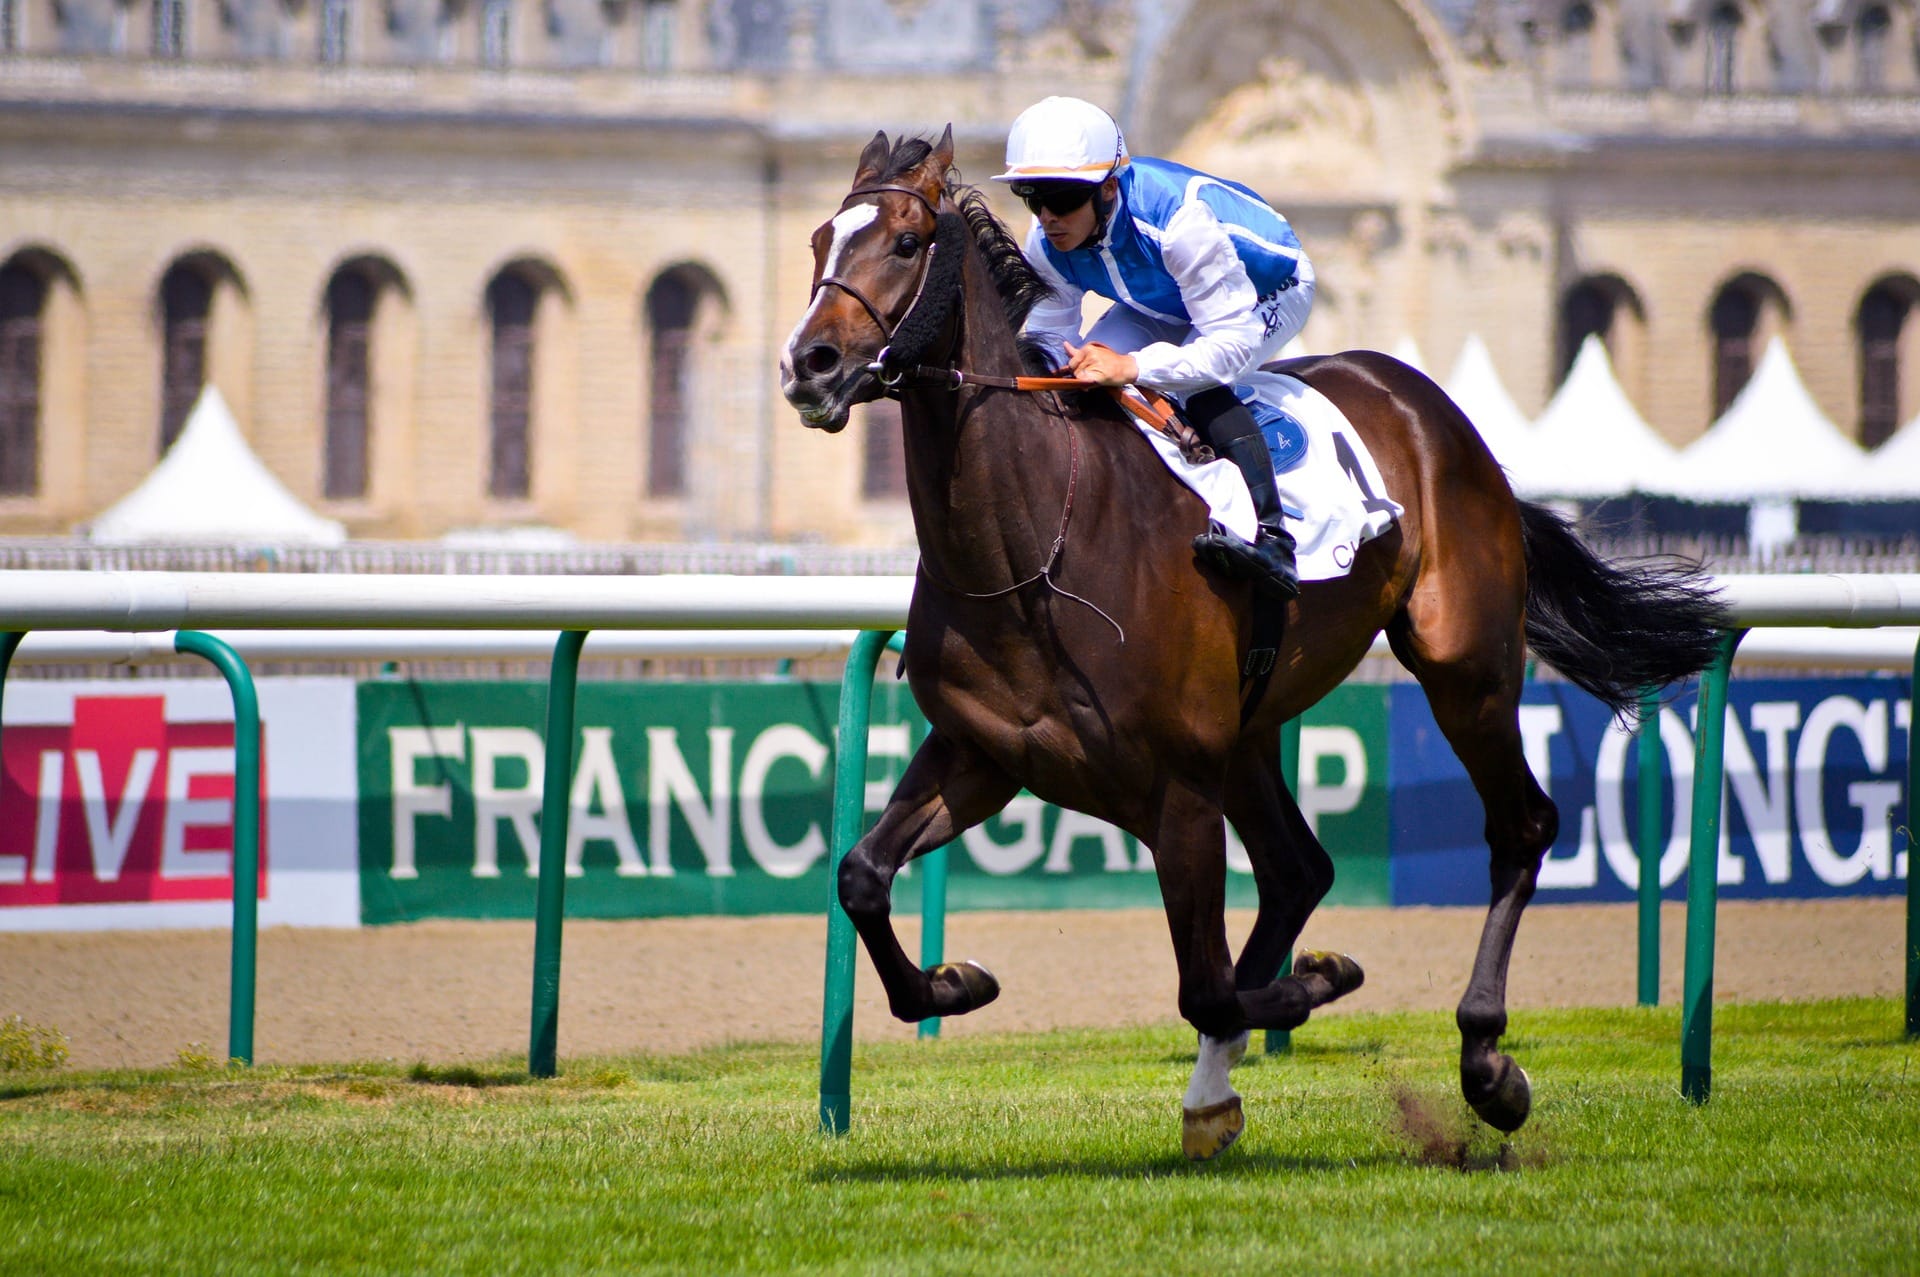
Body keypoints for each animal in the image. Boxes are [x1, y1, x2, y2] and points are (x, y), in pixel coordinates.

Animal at [775, 129, 1728, 1152]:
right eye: (820, 239)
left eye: (907, 243)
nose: (809, 364)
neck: (1033, 550)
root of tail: (1443, 417)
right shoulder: (982, 752)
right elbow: (861, 874)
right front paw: (954, 981)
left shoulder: (1177, 785)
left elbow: (1205, 984)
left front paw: (1317, 982)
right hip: (1252, 726)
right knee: (1297, 869)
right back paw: (1218, 1089)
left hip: (1464, 666)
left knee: (1520, 826)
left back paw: (1485, 1062)